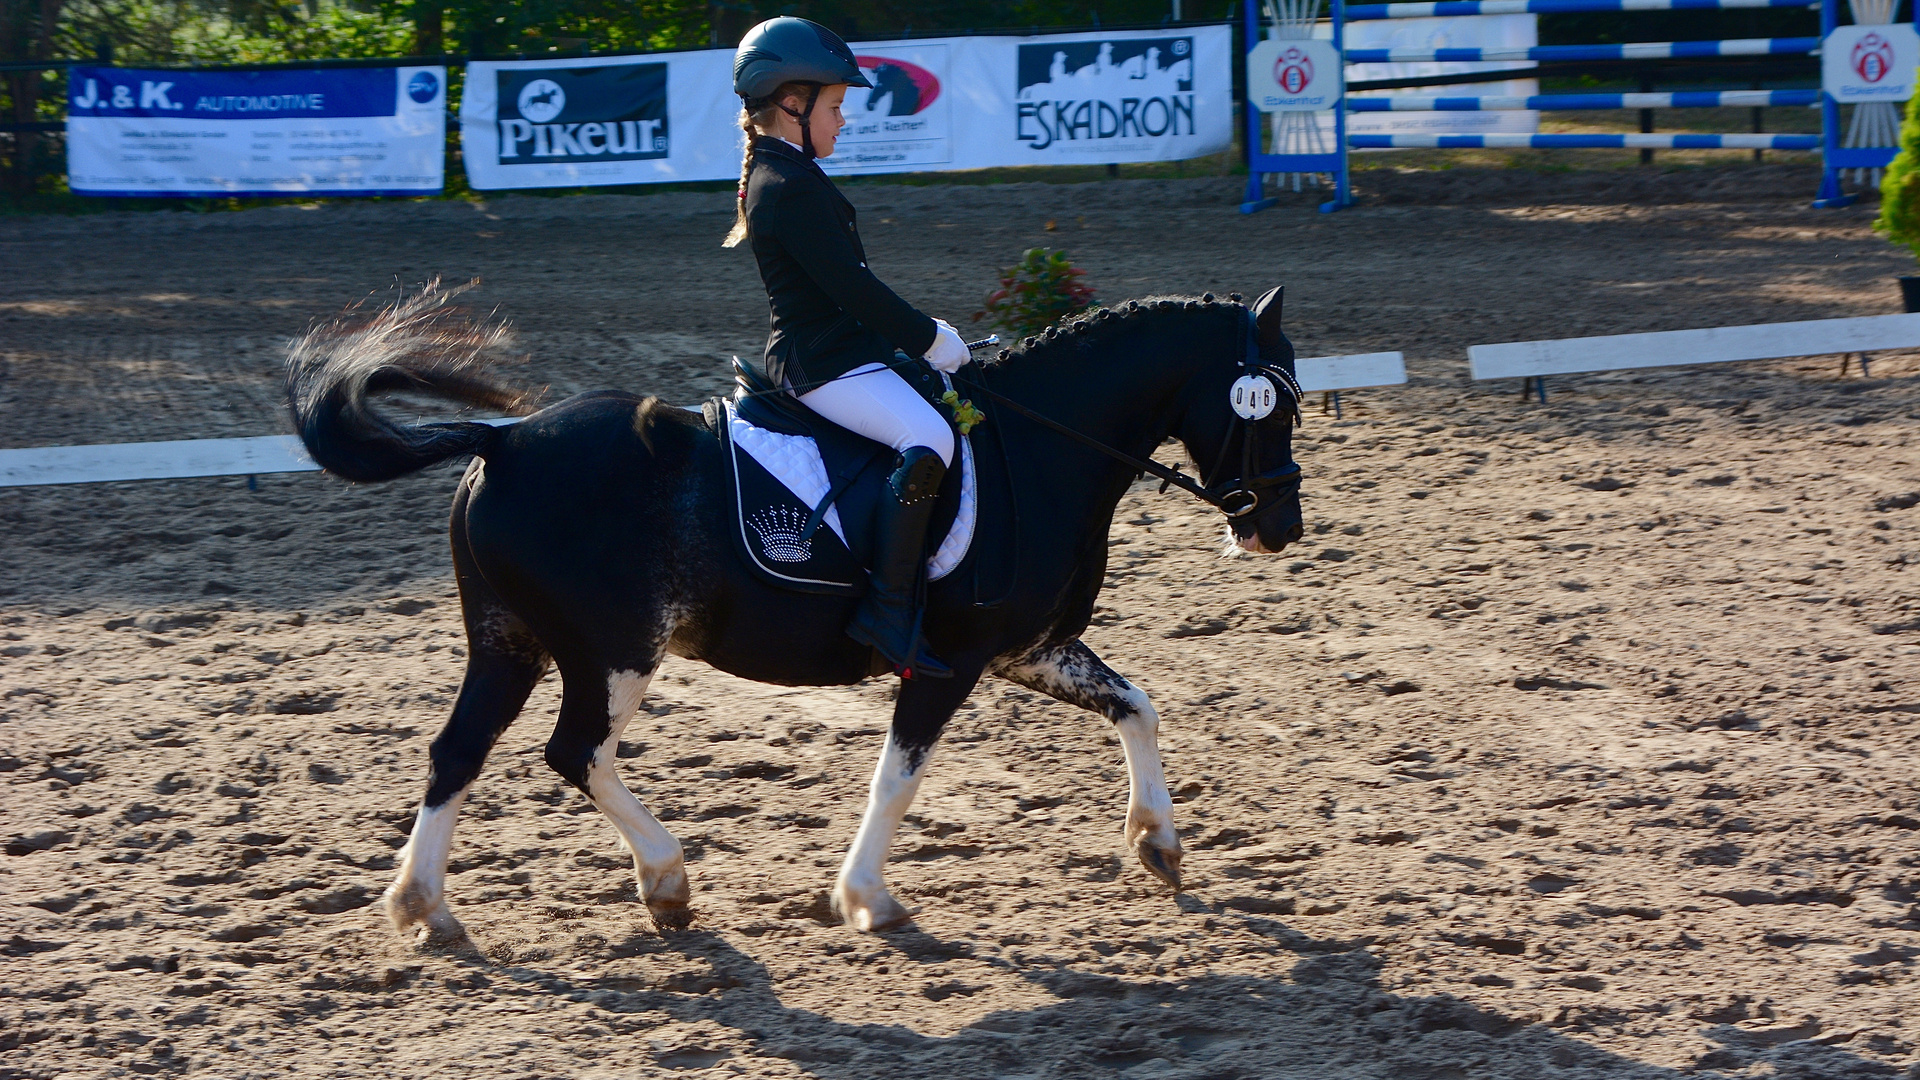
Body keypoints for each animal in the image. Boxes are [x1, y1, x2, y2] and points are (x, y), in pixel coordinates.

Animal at [284, 282, 1305, 937]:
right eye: (1272, 404)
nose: (1280, 527)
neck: (1042, 447)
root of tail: (503, 440)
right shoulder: (951, 658)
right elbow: (898, 779)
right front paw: (865, 899)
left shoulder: (1030, 647)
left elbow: (1138, 707)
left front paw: (1159, 844)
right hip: (611, 650)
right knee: (575, 753)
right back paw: (665, 881)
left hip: (510, 642)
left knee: (458, 751)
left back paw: (425, 908)